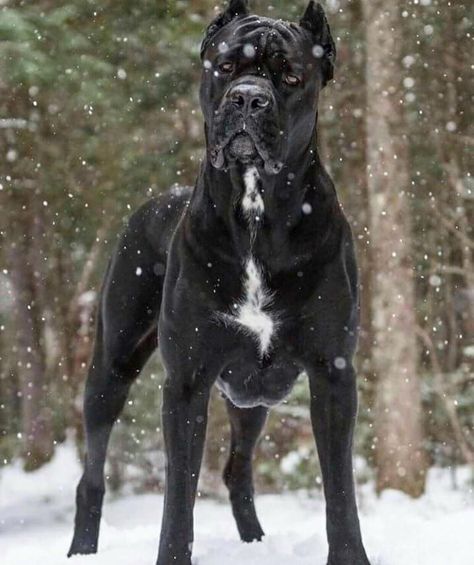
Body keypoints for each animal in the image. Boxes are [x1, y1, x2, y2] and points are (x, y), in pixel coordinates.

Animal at [68, 1, 370, 564]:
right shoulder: (187, 381)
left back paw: (254, 541)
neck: (255, 212)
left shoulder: (333, 373)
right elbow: (179, 495)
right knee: (91, 475)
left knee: (236, 469)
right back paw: (81, 550)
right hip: (111, 367)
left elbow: (340, 491)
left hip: (251, 397)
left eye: (290, 75)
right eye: (226, 66)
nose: (248, 97)